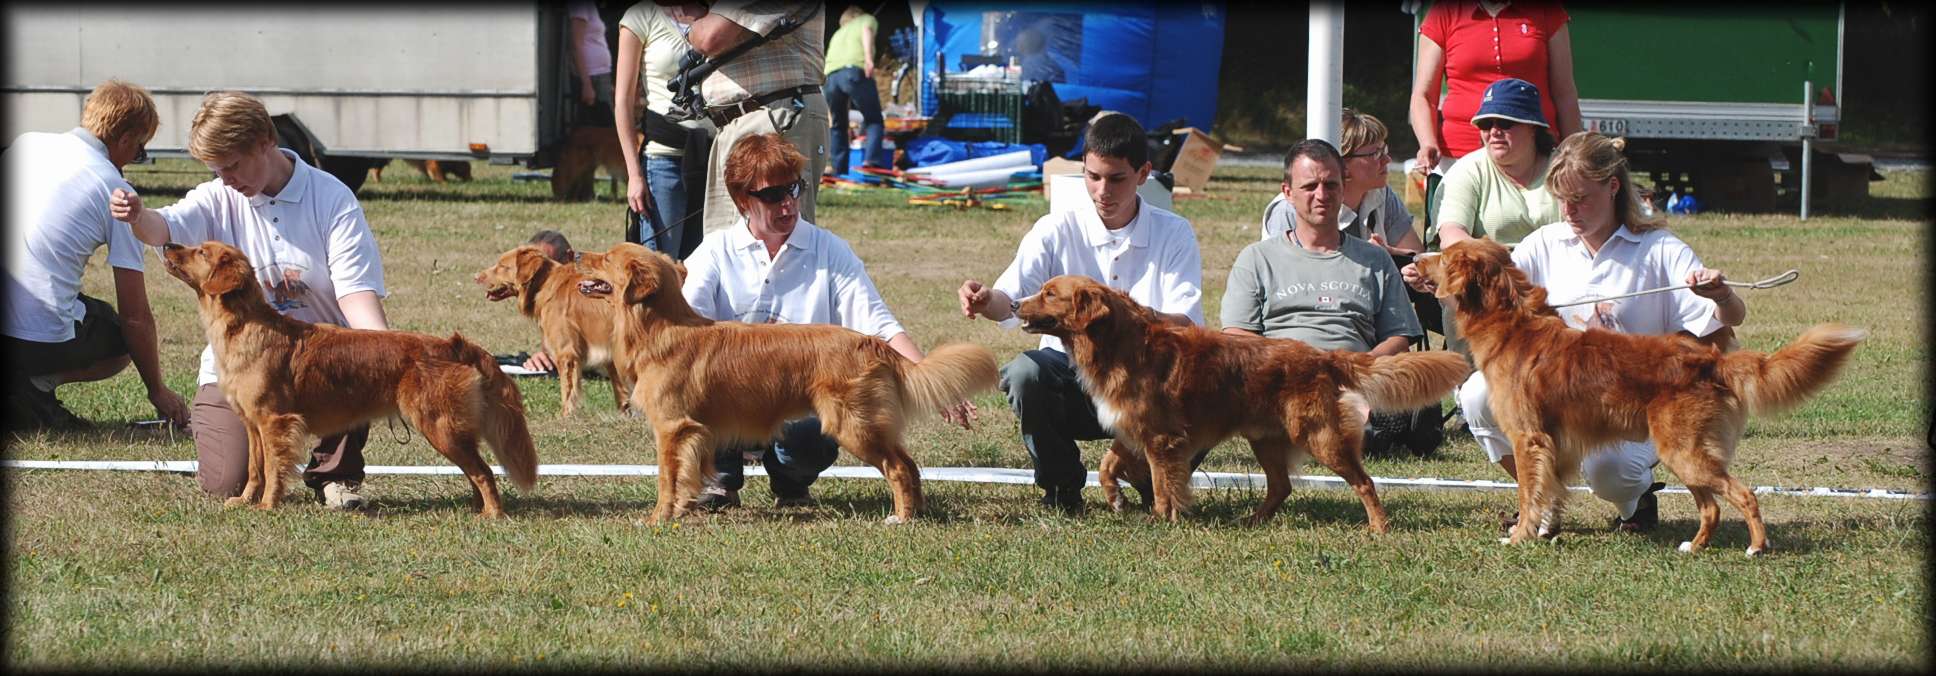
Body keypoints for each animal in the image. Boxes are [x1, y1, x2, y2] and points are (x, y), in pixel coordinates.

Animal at [156, 239, 538, 515]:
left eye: (201, 251)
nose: (168, 243)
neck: (244, 325)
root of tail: (452, 344)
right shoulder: (252, 423)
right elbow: (254, 468)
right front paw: (245, 500)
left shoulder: (275, 421)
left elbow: (274, 469)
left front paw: (267, 505)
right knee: (475, 470)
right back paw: (478, 508)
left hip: (439, 426)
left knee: (483, 471)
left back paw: (493, 514)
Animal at [569, 242, 998, 522]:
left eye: (605, 258)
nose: (574, 254)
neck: (658, 327)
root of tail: (870, 341)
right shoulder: (697, 432)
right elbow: (690, 474)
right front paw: (686, 508)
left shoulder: (673, 428)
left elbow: (666, 477)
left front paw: (659, 517)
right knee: (910, 463)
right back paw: (918, 511)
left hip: (852, 425)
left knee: (897, 467)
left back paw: (902, 517)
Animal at [1014, 273, 1463, 526]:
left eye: (1049, 293)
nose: (1016, 302)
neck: (1117, 342)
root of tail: (1323, 356)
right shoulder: (1133, 429)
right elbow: (1108, 467)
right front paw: (1118, 501)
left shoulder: (1161, 438)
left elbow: (1161, 483)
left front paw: (1161, 519)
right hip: (1265, 439)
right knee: (1281, 487)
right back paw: (1252, 520)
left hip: (1320, 437)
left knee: (1365, 482)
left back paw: (1379, 527)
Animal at [1424, 238, 1858, 553]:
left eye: (1443, 257)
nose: (1416, 259)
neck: (1512, 322)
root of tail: (1709, 359)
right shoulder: (1557, 444)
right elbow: (1551, 491)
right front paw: (1545, 531)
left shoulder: (1529, 438)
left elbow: (1530, 493)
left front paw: (1519, 537)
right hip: (1686, 455)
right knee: (1711, 507)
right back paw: (1694, 547)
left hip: (1683, 453)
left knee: (1744, 494)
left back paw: (1756, 547)